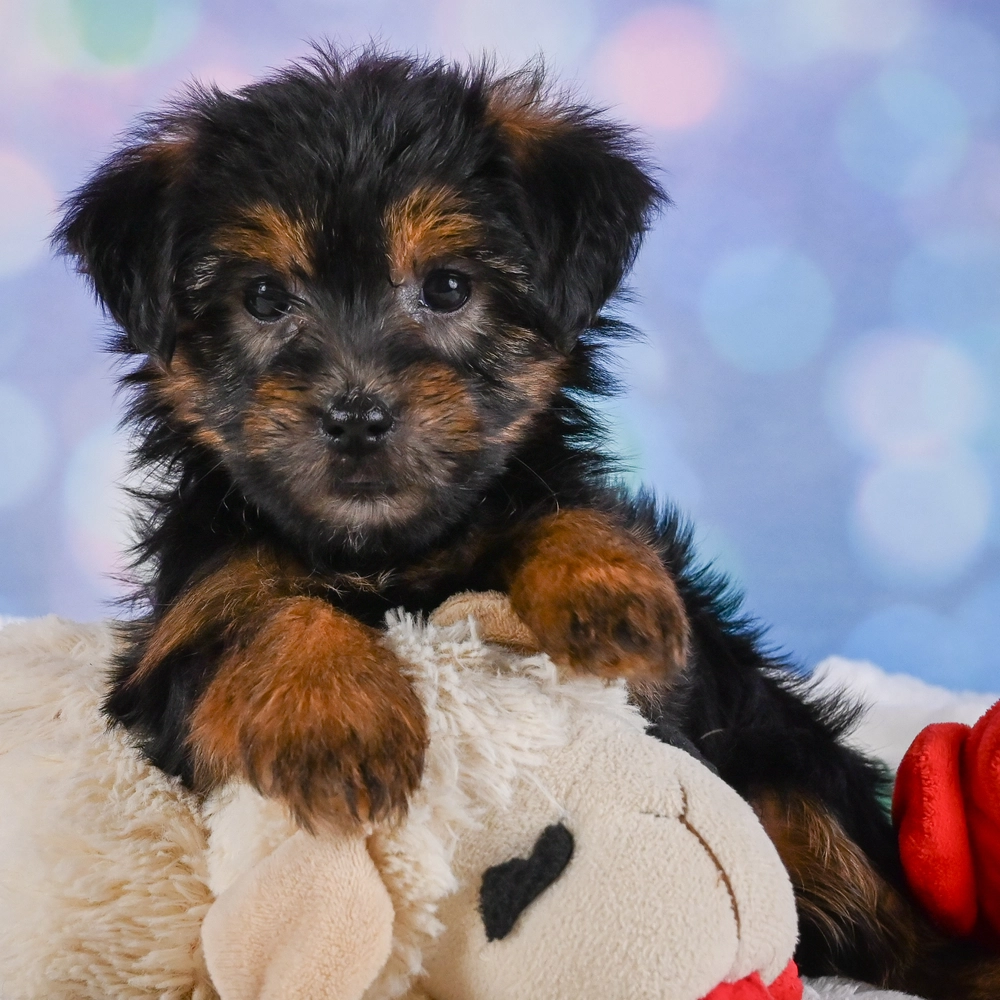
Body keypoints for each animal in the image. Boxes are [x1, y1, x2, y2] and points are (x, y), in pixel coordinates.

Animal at [56, 49, 998, 998]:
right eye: (261, 298)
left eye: (447, 288)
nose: (356, 416)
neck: (387, 551)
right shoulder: (174, 646)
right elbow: (262, 616)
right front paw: (332, 715)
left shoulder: (658, 656)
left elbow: (563, 511)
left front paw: (606, 590)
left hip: (782, 758)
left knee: (857, 879)